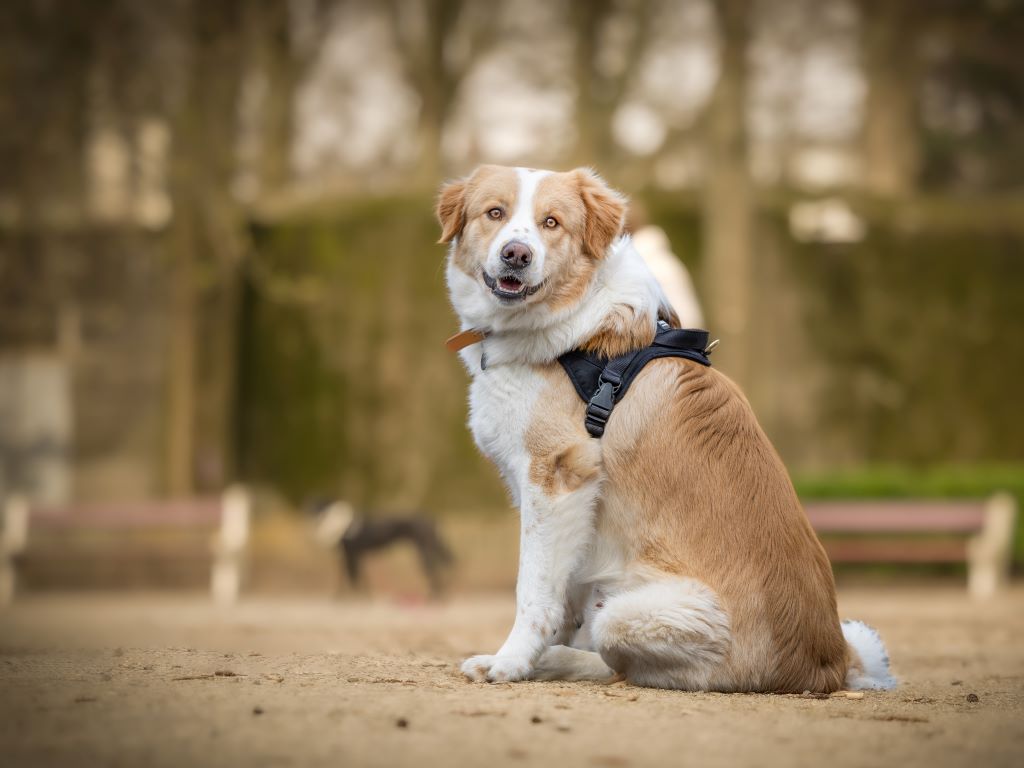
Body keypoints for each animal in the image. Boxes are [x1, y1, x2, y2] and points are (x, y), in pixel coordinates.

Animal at [309, 499, 454, 602]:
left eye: (318, 507)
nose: (311, 513)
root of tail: (432, 520)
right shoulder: (353, 557)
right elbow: (355, 578)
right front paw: (360, 596)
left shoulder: (352, 556)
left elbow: (352, 579)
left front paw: (354, 597)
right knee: (438, 571)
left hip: (423, 552)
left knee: (434, 573)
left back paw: (434, 597)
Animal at [440, 165, 897, 696]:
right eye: (495, 213)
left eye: (551, 223)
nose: (517, 254)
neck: (573, 326)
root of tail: (832, 663)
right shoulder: (570, 512)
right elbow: (562, 597)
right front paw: (529, 657)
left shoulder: (555, 479)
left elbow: (534, 592)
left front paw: (511, 662)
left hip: (631, 613)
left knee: (623, 667)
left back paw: (555, 661)